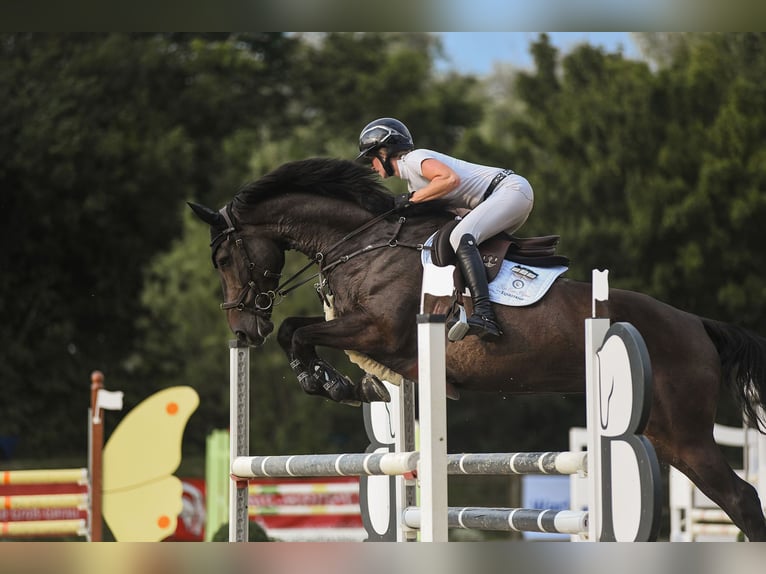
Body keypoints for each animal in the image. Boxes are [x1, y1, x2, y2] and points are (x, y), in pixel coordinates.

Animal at [190, 156, 766, 540]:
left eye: (223, 259)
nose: (243, 331)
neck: (362, 244)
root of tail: (697, 324)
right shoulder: (369, 336)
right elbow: (300, 328)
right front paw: (346, 384)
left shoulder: (379, 331)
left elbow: (299, 331)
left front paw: (324, 380)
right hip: (666, 437)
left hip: (683, 432)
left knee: (741, 497)